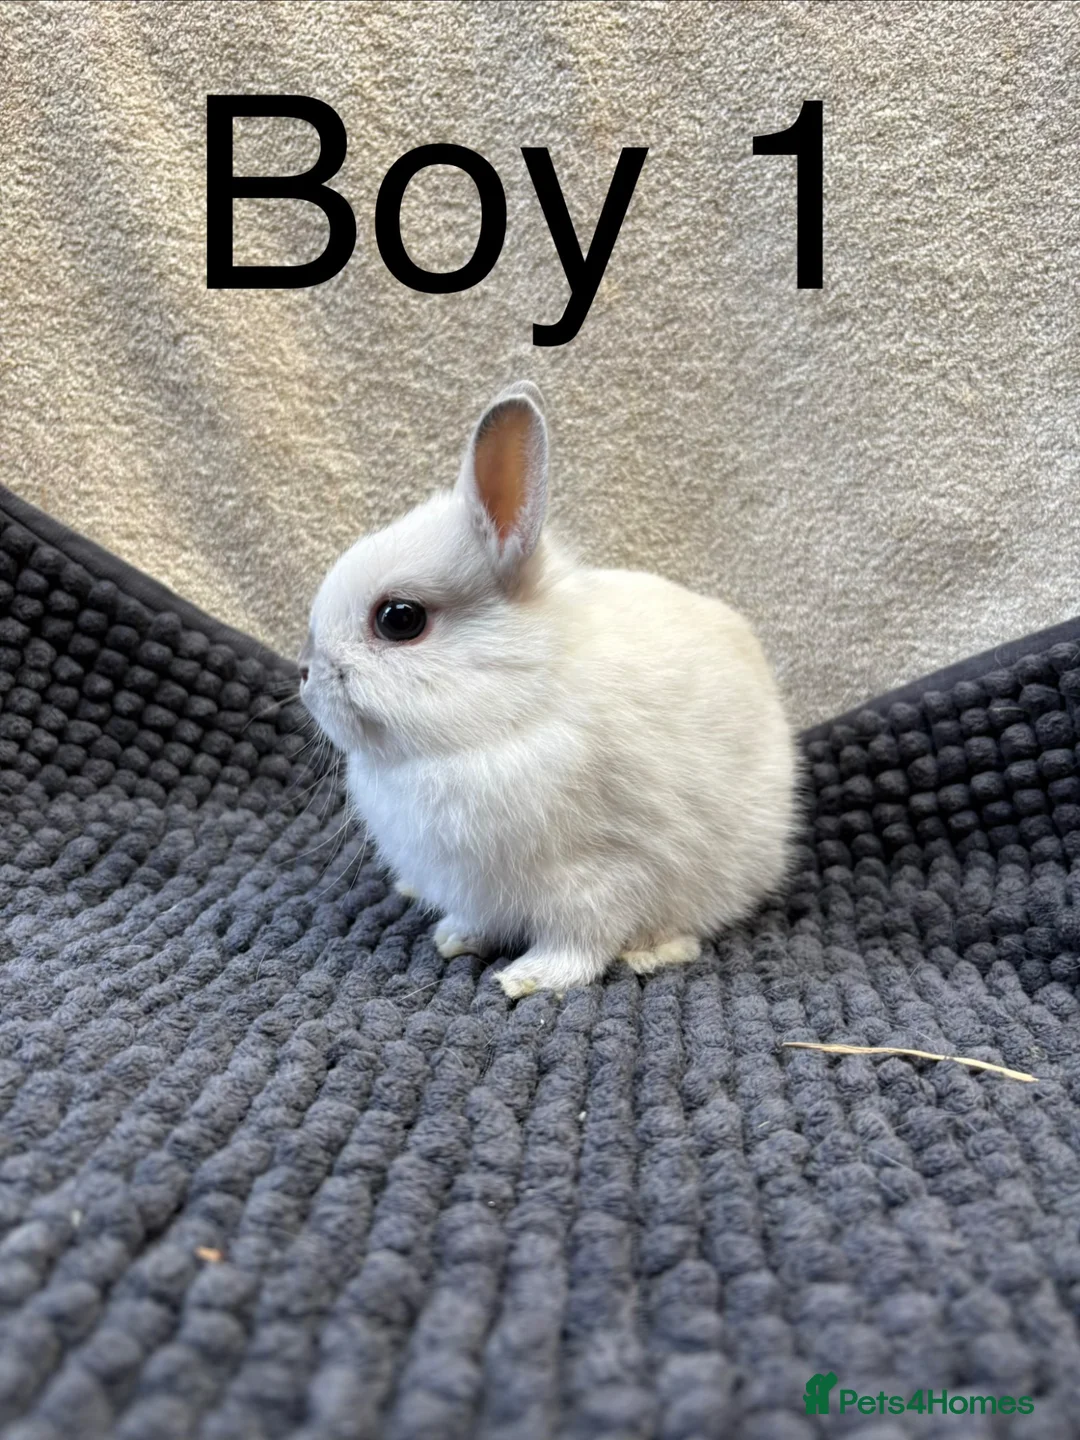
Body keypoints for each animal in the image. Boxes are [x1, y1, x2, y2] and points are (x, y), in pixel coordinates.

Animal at [299, 381, 798, 999]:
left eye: (399, 619)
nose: (306, 675)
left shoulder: (599, 875)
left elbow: (580, 942)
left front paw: (528, 980)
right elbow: (478, 920)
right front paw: (455, 939)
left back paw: (654, 951)